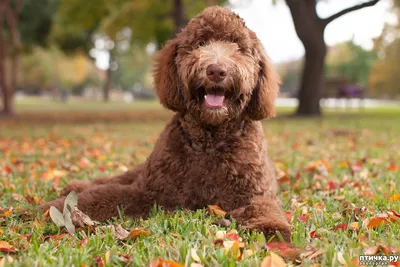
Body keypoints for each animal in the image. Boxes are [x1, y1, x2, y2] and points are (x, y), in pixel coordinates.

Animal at [41, 6, 290, 244]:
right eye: (201, 43)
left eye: (237, 47)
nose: (216, 70)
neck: (209, 143)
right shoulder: (149, 191)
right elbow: (102, 196)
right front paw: (50, 208)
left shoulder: (252, 194)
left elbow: (264, 207)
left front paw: (272, 228)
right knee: (111, 180)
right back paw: (75, 185)